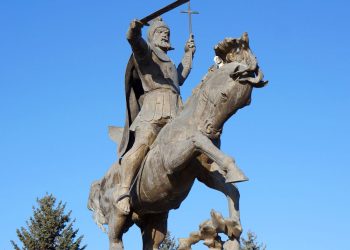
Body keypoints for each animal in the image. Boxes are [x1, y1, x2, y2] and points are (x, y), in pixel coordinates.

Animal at [89, 33, 266, 250]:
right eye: (224, 95)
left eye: (245, 103)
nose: (211, 130)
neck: (189, 123)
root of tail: (99, 184)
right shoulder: (171, 163)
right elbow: (197, 141)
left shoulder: (204, 173)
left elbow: (233, 191)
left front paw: (233, 230)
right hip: (118, 217)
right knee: (115, 238)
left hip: (154, 219)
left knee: (151, 242)